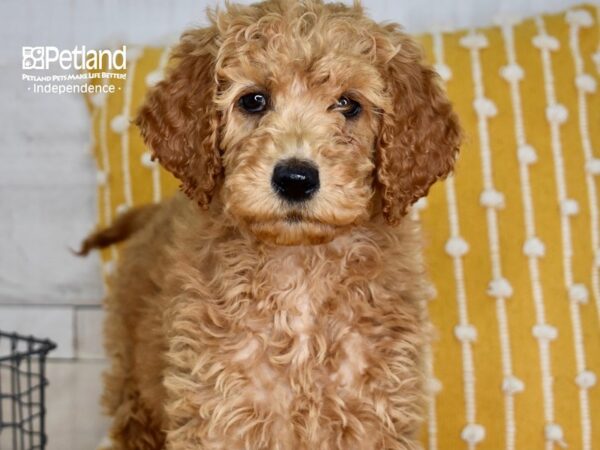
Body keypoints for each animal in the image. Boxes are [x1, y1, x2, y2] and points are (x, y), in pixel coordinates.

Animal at [82, 1, 462, 448]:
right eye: (254, 101)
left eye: (348, 104)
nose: (295, 179)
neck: (301, 272)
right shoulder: (218, 407)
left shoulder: (376, 411)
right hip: (133, 389)